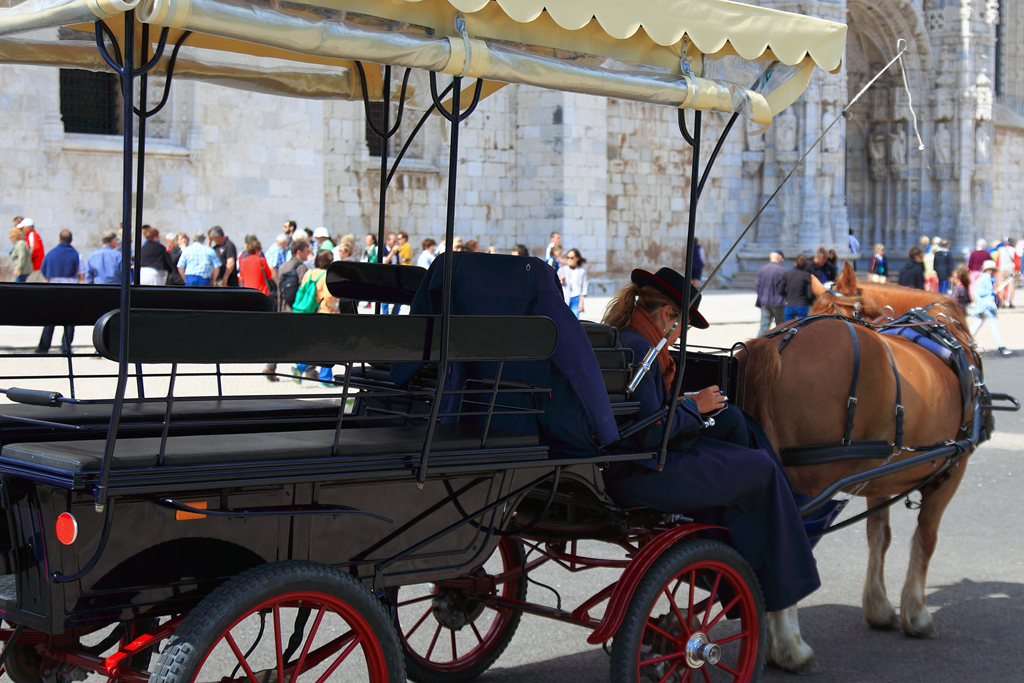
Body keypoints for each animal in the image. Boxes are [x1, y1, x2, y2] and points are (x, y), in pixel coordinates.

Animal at [737, 264, 982, 673]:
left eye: (831, 309)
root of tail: (778, 342)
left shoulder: (878, 478)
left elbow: (878, 537)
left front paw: (879, 608)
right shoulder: (953, 467)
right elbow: (926, 538)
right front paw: (917, 614)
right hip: (808, 483)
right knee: (791, 543)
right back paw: (791, 647)